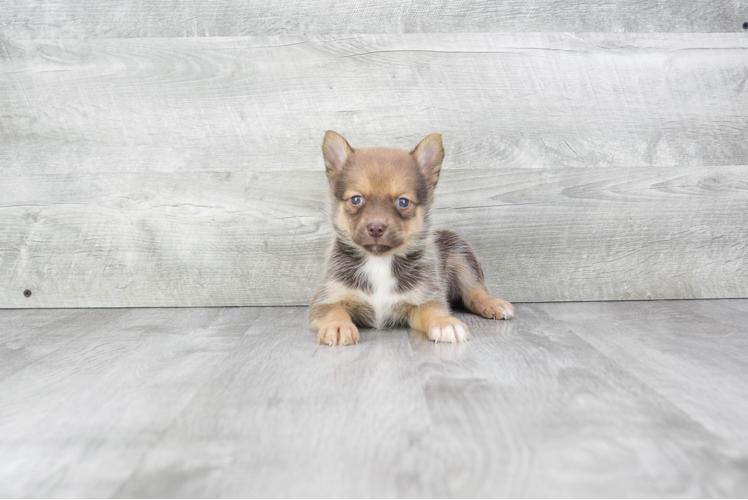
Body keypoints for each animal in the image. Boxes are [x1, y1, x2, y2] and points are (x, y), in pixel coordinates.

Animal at [306, 131, 512, 346]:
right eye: (356, 199)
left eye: (403, 202)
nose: (376, 228)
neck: (379, 261)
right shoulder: (326, 299)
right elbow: (334, 312)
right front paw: (338, 326)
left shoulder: (424, 298)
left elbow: (433, 311)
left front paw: (445, 322)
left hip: (461, 254)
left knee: (475, 292)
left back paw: (493, 304)